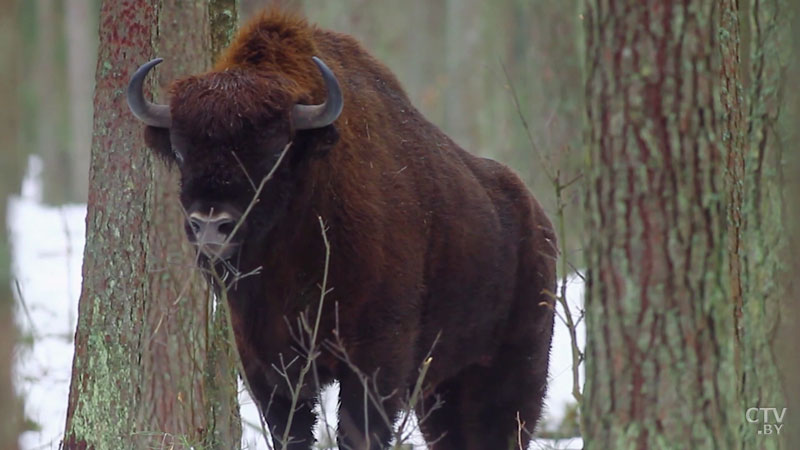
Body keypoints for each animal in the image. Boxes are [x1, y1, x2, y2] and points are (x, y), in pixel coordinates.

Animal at [130, 7, 556, 450]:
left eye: (273, 151)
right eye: (181, 151)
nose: (211, 224)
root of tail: (541, 224)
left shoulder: (375, 360)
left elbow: (357, 430)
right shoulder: (267, 365)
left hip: (510, 375)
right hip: (441, 390)